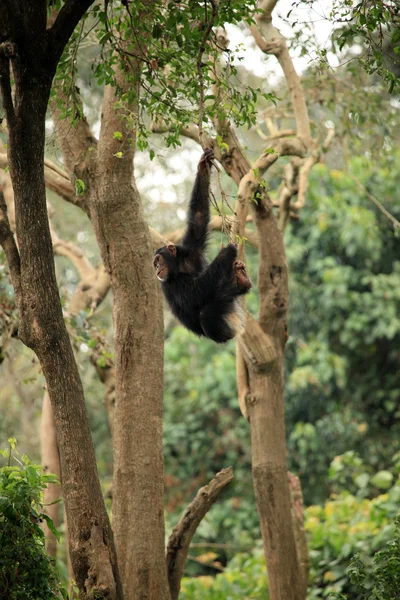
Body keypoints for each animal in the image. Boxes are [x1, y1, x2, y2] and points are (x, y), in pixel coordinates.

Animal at [152, 148, 250, 344]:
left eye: (158, 260)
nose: (157, 268)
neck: (179, 265)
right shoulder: (170, 285)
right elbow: (195, 292)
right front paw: (226, 253)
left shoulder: (193, 249)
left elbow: (198, 216)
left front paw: (203, 165)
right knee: (207, 312)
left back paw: (240, 280)